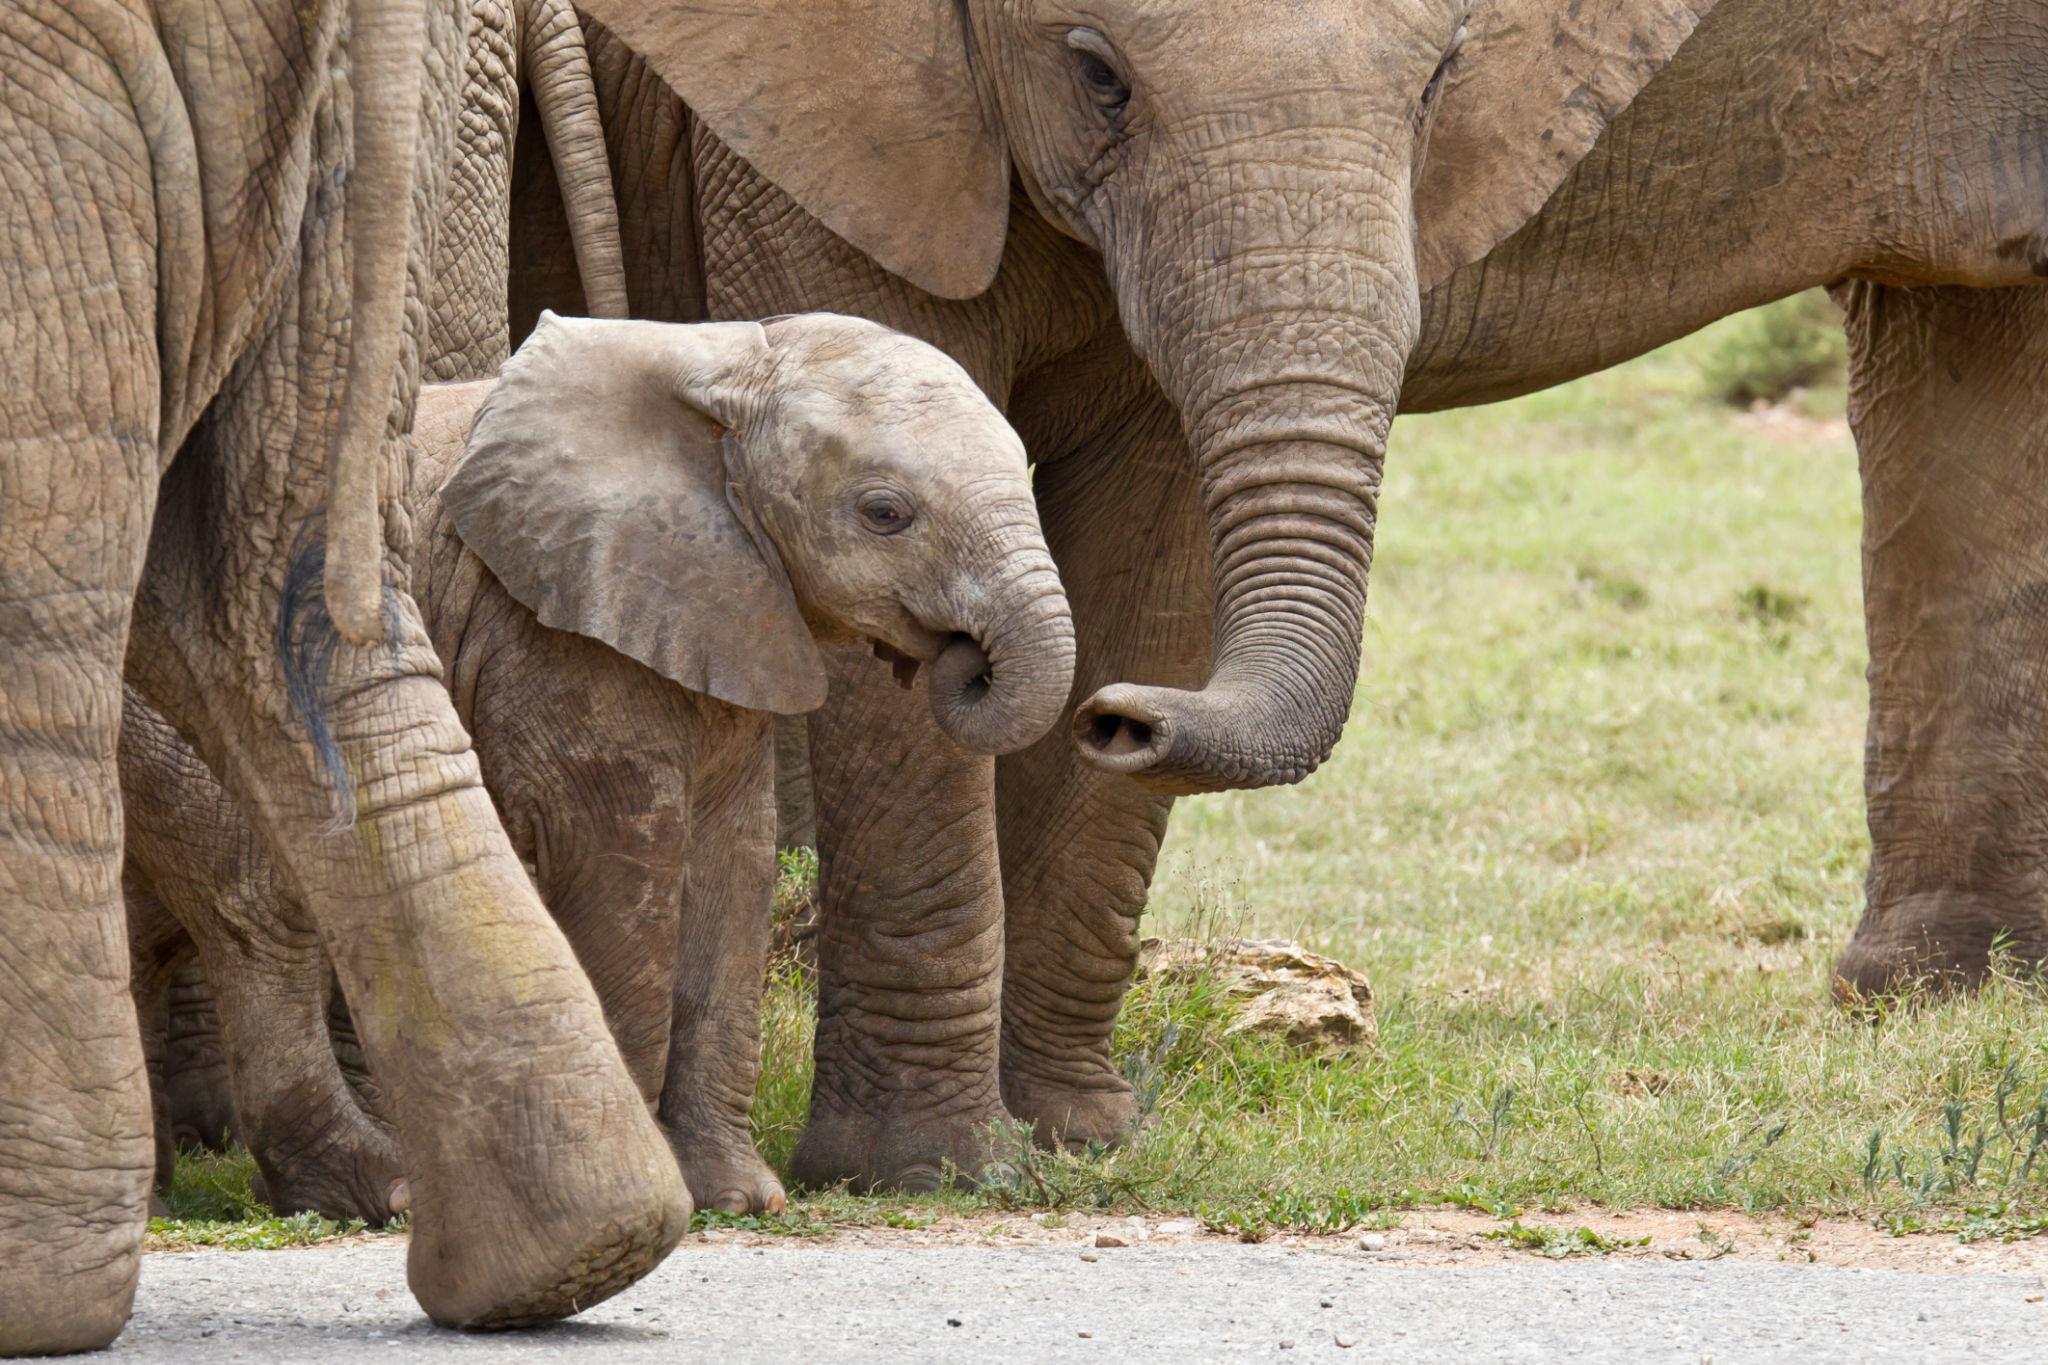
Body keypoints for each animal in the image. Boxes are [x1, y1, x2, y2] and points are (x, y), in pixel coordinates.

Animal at [120, 311, 1075, 1223]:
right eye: (885, 514)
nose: (961, 657)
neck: (725, 364)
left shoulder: (727, 610)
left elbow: (733, 868)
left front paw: (740, 1197)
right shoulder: (552, 629)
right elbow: (624, 862)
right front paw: (663, 1189)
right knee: (256, 899)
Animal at [514, 0, 2048, 1195]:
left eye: (1441, 84)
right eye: (1097, 74)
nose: (1122, 717)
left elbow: (1148, 542)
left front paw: (1074, 1142)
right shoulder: (820, 129)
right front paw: (931, 1170)